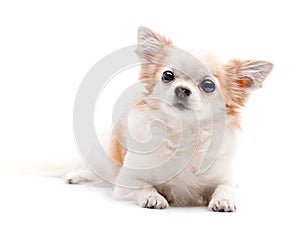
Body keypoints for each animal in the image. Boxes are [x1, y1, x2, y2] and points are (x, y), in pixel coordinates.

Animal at [65, 26, 272, 211]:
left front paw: (224, 200)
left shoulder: (222, 178)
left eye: (208, 85)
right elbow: (143, 186)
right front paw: (153, 197)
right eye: (167, 75)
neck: (182, 132)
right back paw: (75, 176)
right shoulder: (126, 181)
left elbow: (225, 188)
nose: (182, 89)